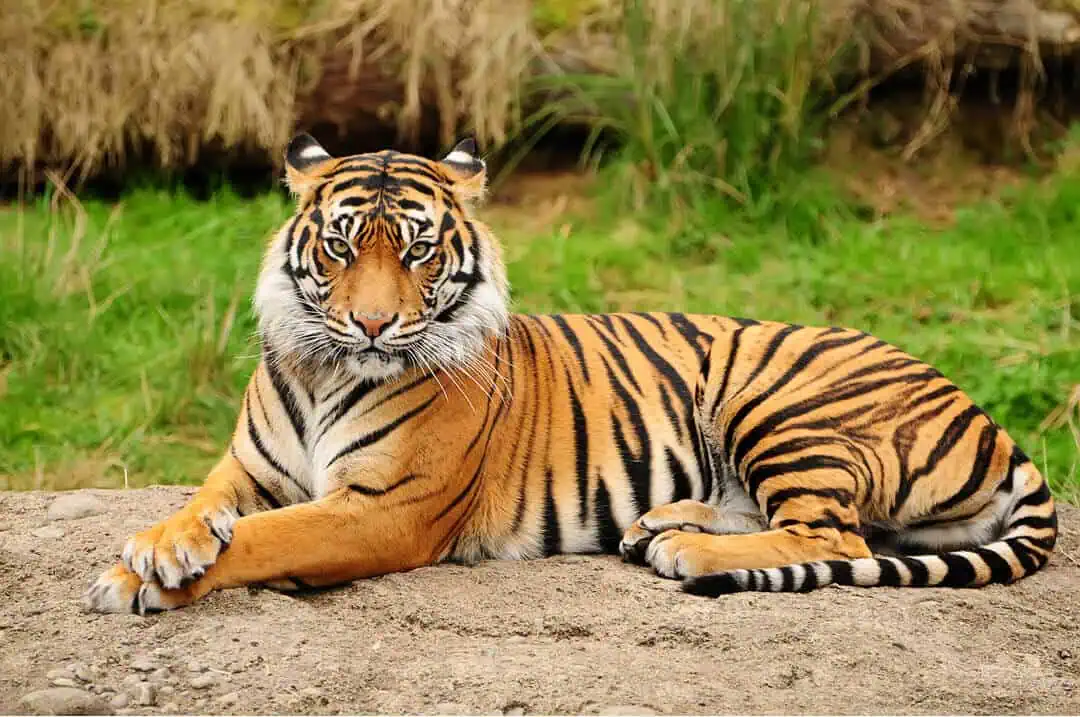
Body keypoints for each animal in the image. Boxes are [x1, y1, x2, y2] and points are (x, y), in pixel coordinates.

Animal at [84, 134, 1058, 614]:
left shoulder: (384, 508)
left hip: (776, 398)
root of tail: (987, 415)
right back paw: (660, 523)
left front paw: (140, 579)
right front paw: (158, 547)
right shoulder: (246, 469)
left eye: (419, 250)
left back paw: (686, 548)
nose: (372, 322)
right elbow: (206, 509)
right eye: (341, 245)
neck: (327, 369)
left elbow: (267, 539)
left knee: (837, 536)